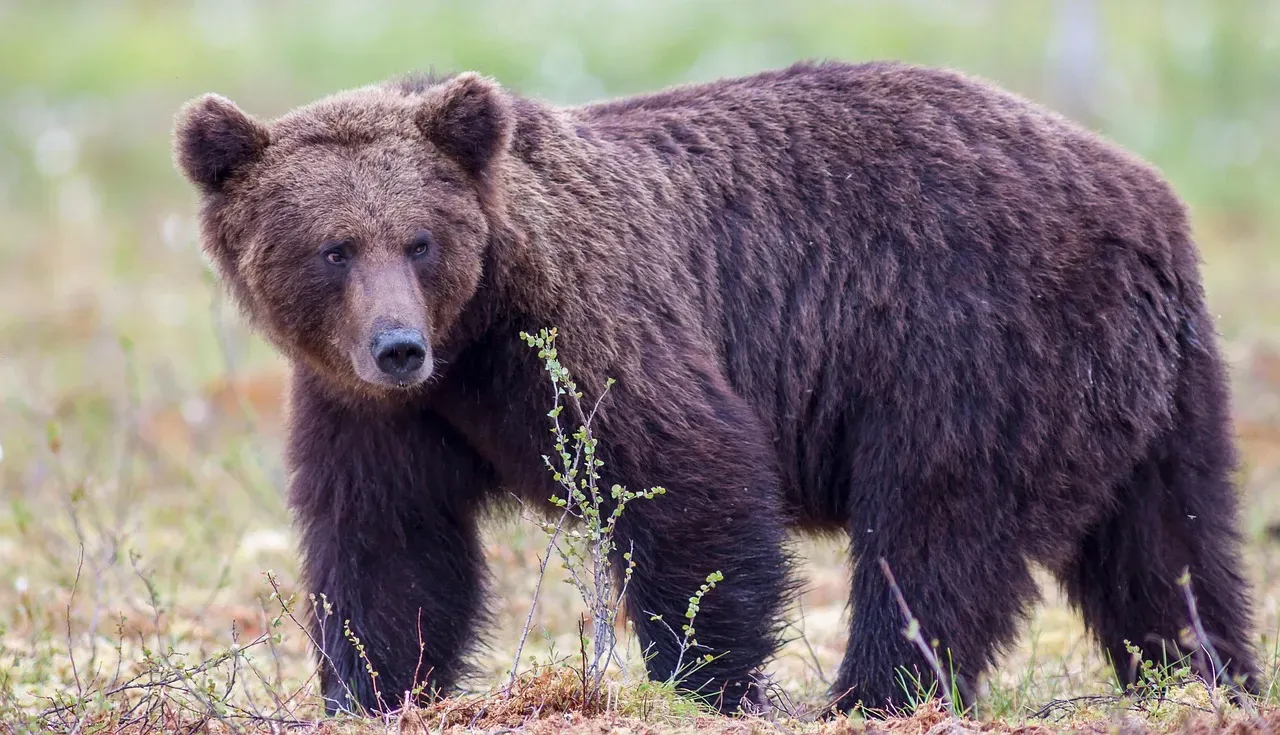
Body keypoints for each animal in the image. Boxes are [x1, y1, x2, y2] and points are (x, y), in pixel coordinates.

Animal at [172, 60, 1258, 715]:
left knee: (935, 534)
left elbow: (689, 480)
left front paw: (709, 681)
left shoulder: (587, 323)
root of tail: (1145, 198)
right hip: (1155, 392)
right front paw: (375, 688)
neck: (474, 334)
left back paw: (870, 694)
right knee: (1167, 550)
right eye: (332, 247)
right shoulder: (375, 410)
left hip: (974, 345)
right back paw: (1204, 681)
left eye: (419, 240)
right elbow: (388, 547)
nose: (396, 345)